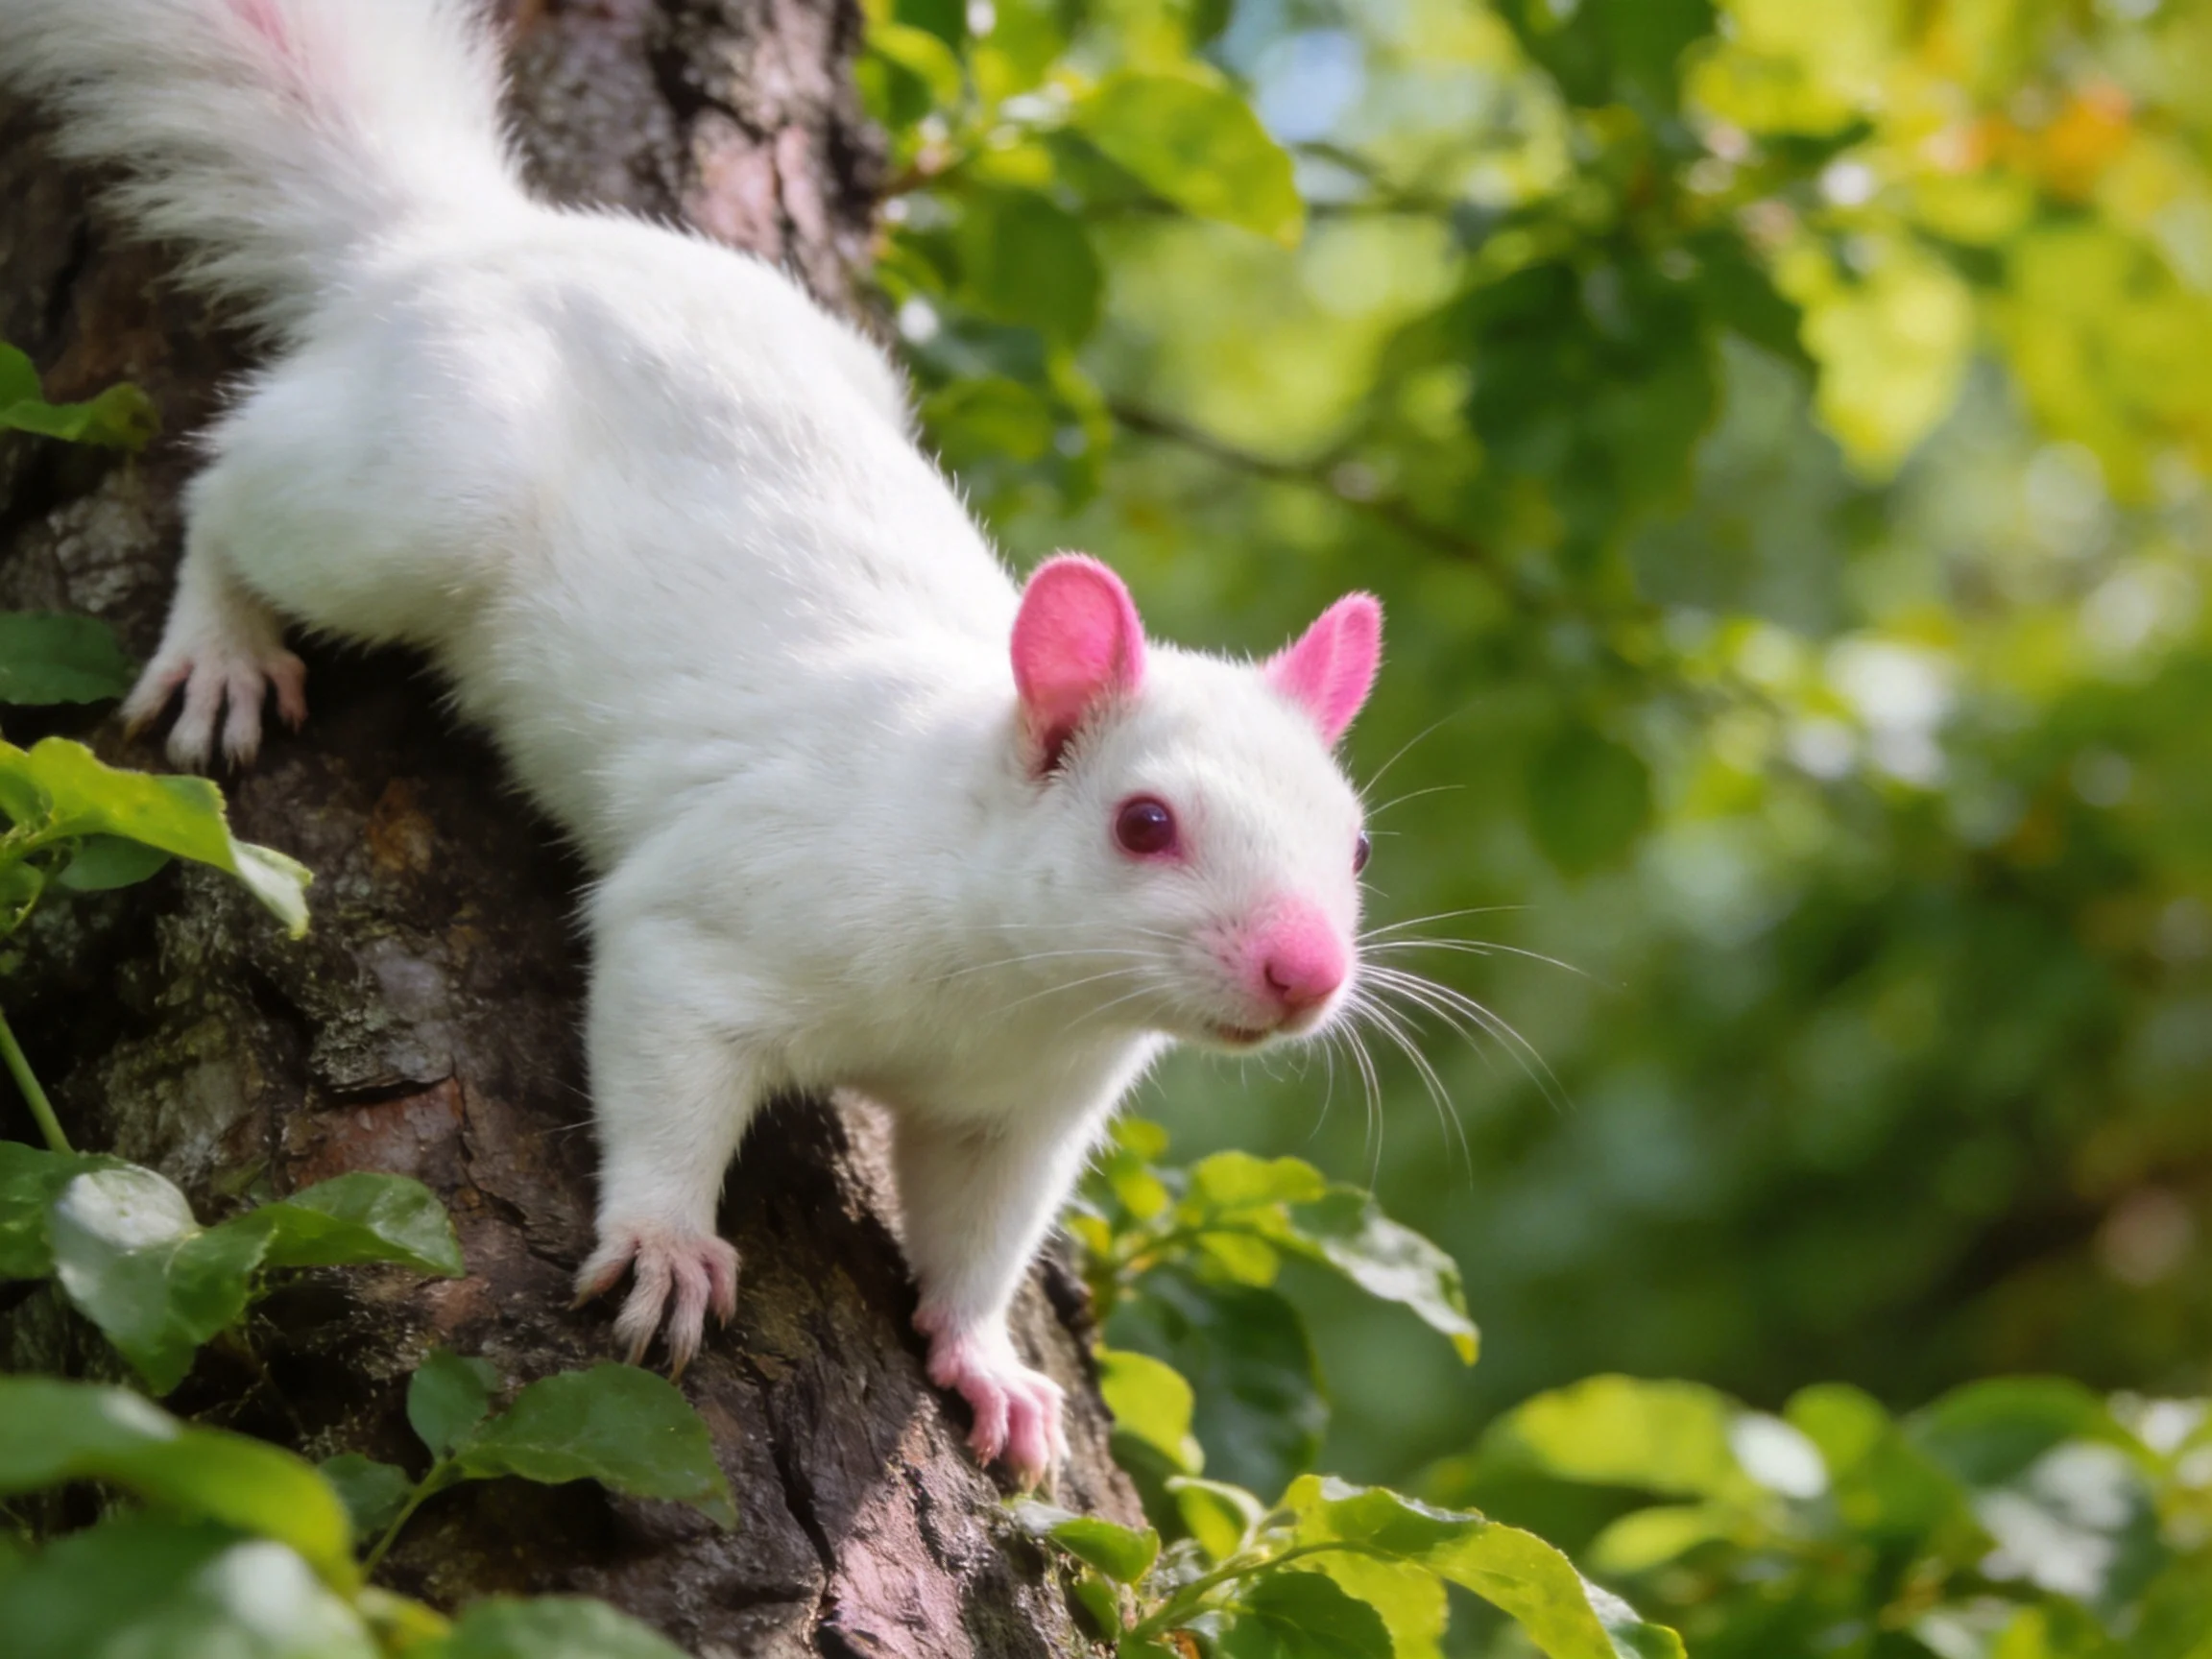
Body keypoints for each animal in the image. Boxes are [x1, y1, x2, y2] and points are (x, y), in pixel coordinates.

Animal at [0, 0, 1382, 1482]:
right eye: (1145, 824)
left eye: (1356, 847)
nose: (1307, 971)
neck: (1012, 980)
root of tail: (450, 244)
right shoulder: (715, 918)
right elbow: (663, 1056)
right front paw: (666, 1247)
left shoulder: (1020, 1112)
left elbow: (979, 1232)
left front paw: (990, 1364)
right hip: (417, 501)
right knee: (228, 488)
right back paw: (221, 648)